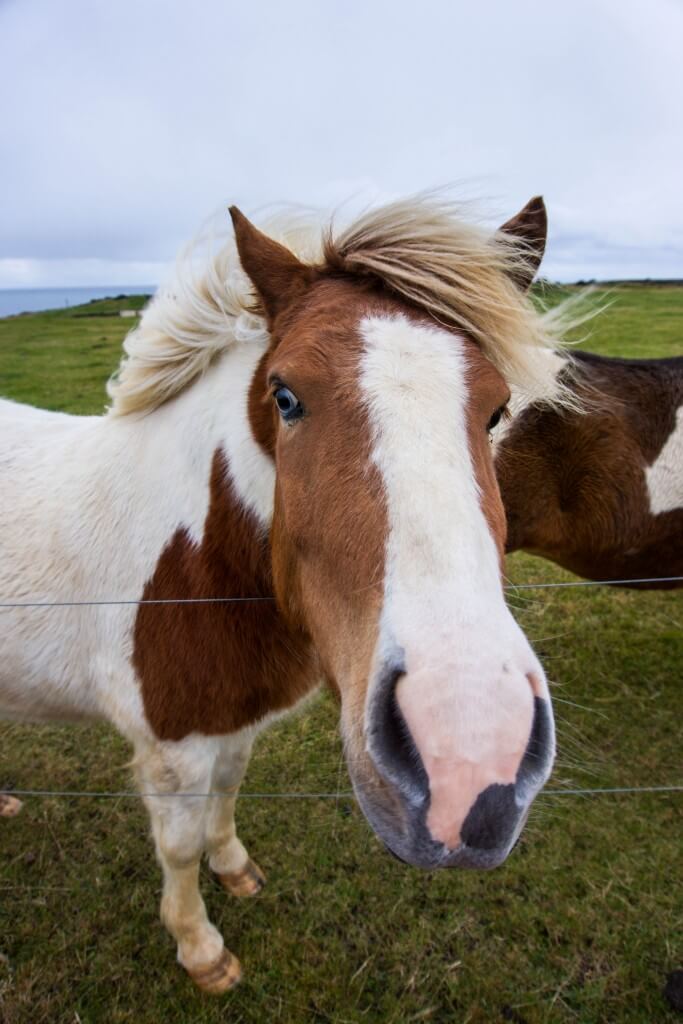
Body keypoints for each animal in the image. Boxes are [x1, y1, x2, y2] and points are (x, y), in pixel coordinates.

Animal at [0, 192, 581, 991]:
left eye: (496, 411)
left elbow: (229, 792)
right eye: (284, 396)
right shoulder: (172, 749)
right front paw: (201, 948)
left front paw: (235, 869)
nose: (468, 760)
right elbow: (177, 848)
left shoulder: (235, 724)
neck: (198, 565)